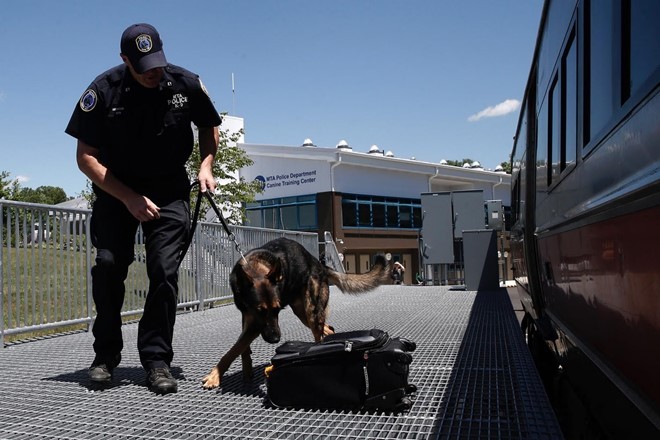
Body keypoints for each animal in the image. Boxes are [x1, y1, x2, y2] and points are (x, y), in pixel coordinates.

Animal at [199, 237, 390, 388]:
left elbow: (234, 349)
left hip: (311, 311)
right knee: (328, 329)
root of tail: (319, 264)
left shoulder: (255, 325)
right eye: (260, 310)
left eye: (277, 309)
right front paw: (246, 370)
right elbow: (241, 347)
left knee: (319, 334)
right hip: (302, 313)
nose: (276, 339)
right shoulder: (248, 316)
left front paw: (215, 375)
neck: (255, 268)